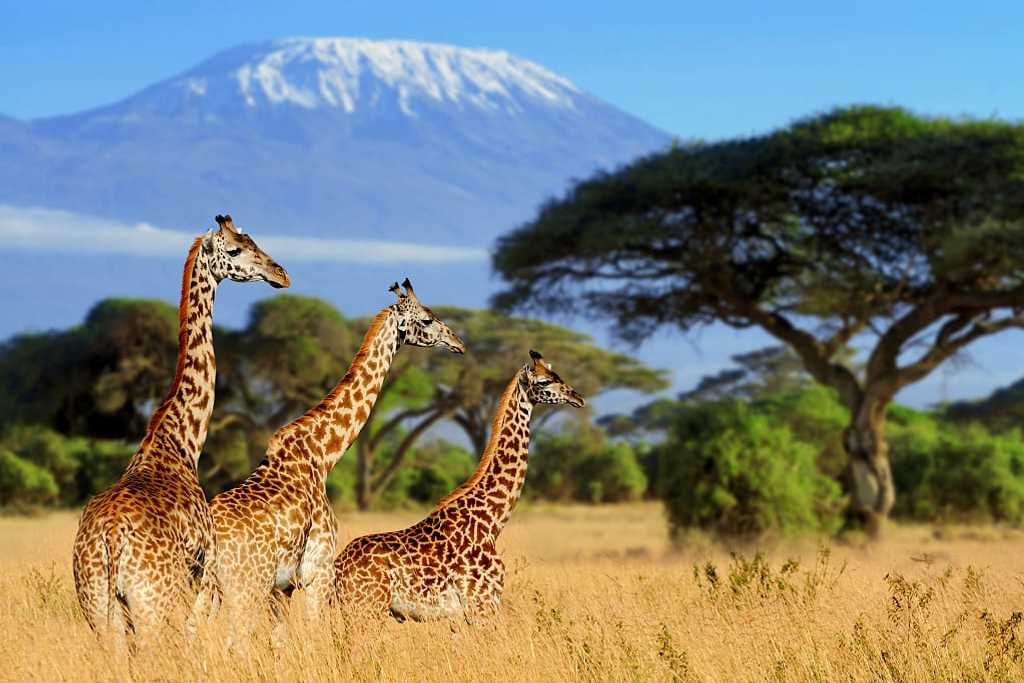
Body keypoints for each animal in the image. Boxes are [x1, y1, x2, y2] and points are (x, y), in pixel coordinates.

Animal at [71, 215, 288, 647]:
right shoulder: (203, 571)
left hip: (98, 608)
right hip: (153, 603)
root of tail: (110, 539)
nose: (281, 274)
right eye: (235, 249)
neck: (180, 442)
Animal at [209, 278, 466, 630]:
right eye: (426, 319)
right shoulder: (317, 571)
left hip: (208, 587)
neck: (322, 454)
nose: (458, 343)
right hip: (246, 584)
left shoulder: (284, 587)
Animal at [335, 350, 585, 622]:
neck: (491, 522)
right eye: (544, 382)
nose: (578, 398)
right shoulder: (483, 605)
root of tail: (337, 568)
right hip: (366, 608)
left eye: (558, 375)